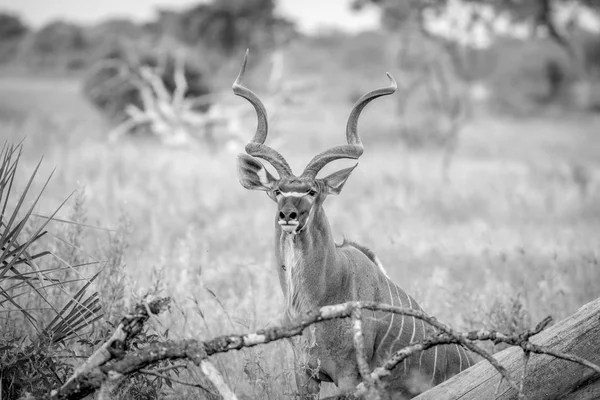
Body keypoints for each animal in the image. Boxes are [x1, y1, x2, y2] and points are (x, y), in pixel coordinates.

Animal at [234, 51, 474, 398]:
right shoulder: (304, 373)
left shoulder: (348, 375)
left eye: (311, 191)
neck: (318, 299)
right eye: (277, 191)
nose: (288, 215)